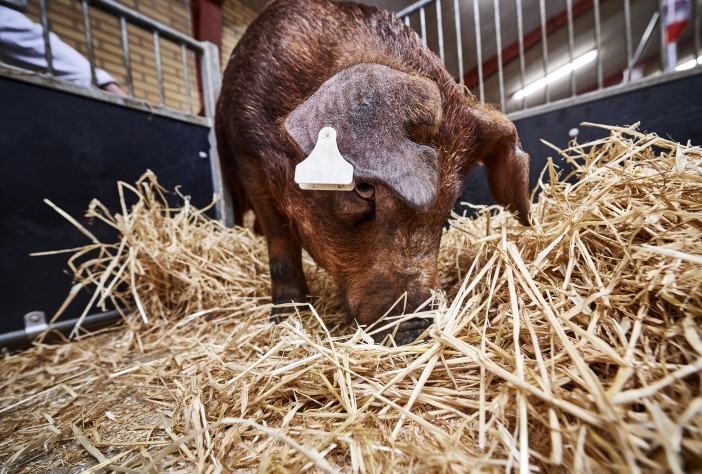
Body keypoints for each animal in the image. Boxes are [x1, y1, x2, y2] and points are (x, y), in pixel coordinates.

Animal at [215, 0, 530, 344]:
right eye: (363, 188)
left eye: (449, 199)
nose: (417, 327)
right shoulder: (248, 156)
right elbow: (280, 241)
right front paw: (284, 319)